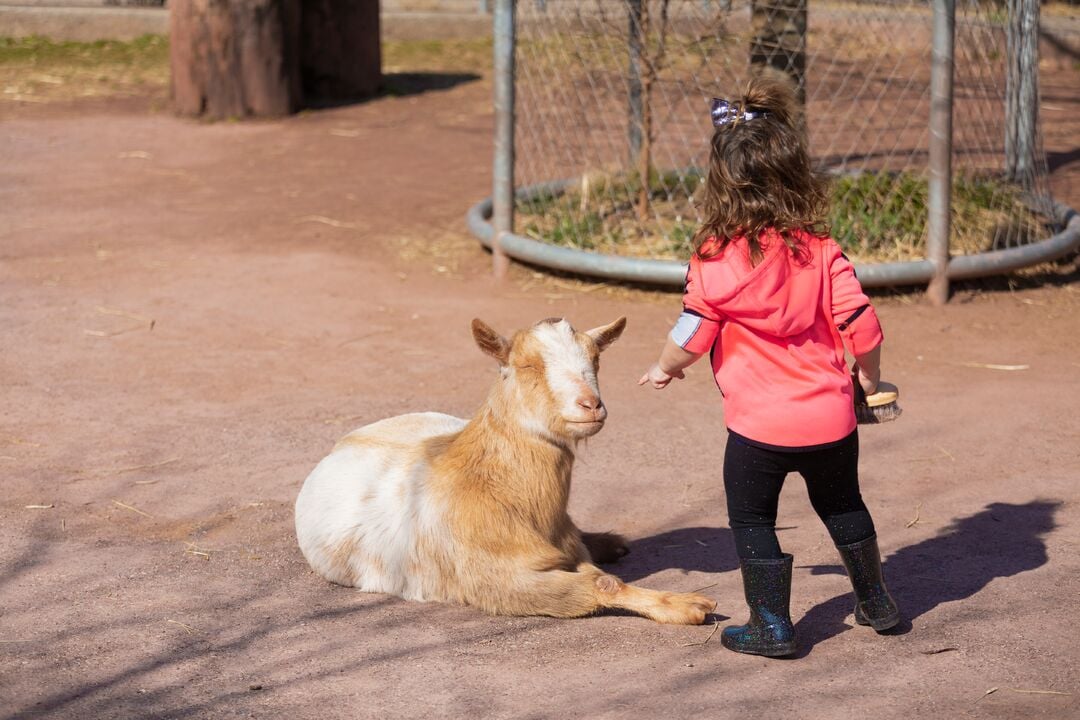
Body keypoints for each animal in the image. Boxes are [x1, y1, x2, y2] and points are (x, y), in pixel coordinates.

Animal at [295, 317, 717, 626]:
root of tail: (342, 441)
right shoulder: (496, 582)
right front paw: (687, 606)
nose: (590, 405)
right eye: (527, 365)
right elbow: (600, 583)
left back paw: (610, 541)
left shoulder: (565, 548)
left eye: (596, 359)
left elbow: (595, 571)